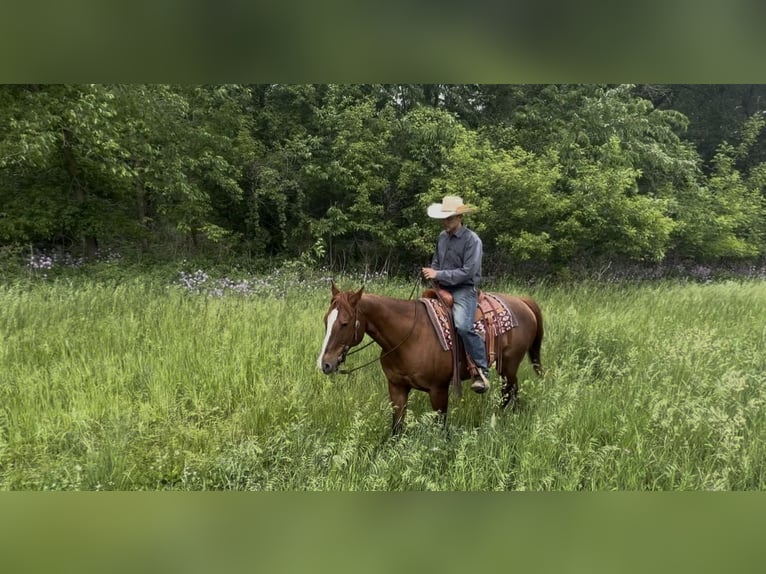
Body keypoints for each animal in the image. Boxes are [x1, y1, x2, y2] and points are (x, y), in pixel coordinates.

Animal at [316, 281, 544, 435]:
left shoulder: (438, 391)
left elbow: (439, 428)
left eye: (345, 323)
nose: (325, 364)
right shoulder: (397, 388)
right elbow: (397, 427)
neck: (408, 336)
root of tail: (522, 302)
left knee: (509, 393)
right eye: (326, 320)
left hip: (509, 366)